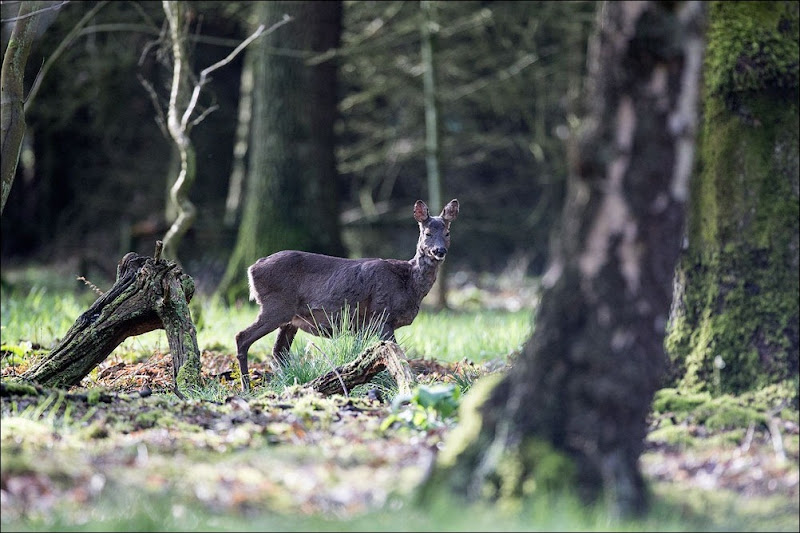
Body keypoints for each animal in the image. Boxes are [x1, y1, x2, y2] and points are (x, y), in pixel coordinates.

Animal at [234, 197, 460, 388]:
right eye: (427, 233)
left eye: (447, 233)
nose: (439, 251)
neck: (408, 283)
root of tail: (251, 268)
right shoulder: (381, 315)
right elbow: (396, 355)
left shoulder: (363, 325)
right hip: (276, 306)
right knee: (242, 337)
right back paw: (246, 386)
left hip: (290, 318)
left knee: (278, 352)